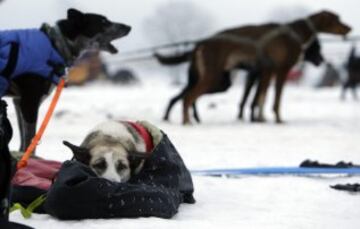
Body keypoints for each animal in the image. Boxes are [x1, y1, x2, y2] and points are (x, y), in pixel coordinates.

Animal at [2, 8, 131, 152]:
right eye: (103, 21)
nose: (128, 27)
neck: (54, 44)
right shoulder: (29, 102)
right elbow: (30, 141)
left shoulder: (19, 101)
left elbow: (24, 140)